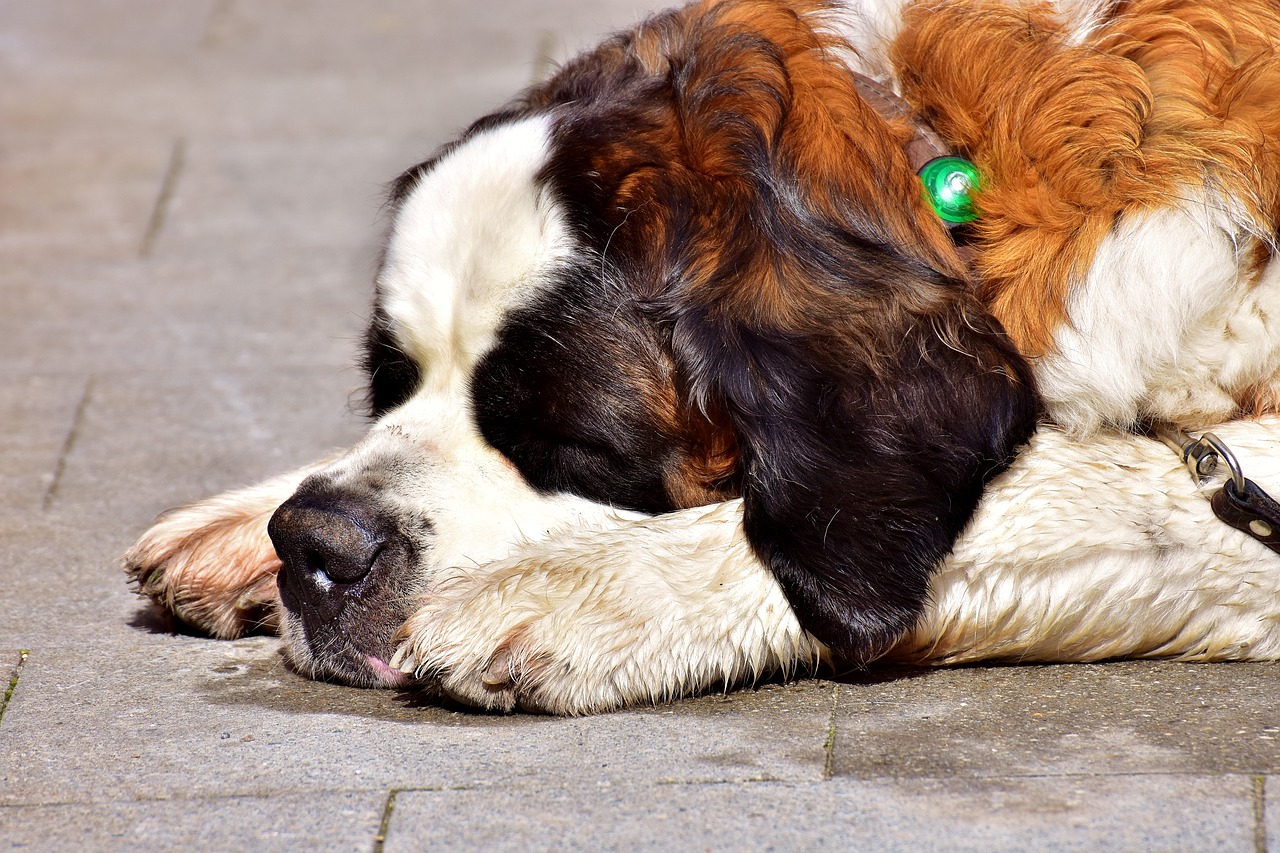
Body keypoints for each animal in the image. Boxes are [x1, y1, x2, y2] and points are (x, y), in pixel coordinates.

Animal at [124, 0, 1280, 712]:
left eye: (568, 442)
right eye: (390, 379)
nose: (315, 545)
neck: (957, 167)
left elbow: (1077, 489)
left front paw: (583, 587)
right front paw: (242, 524)